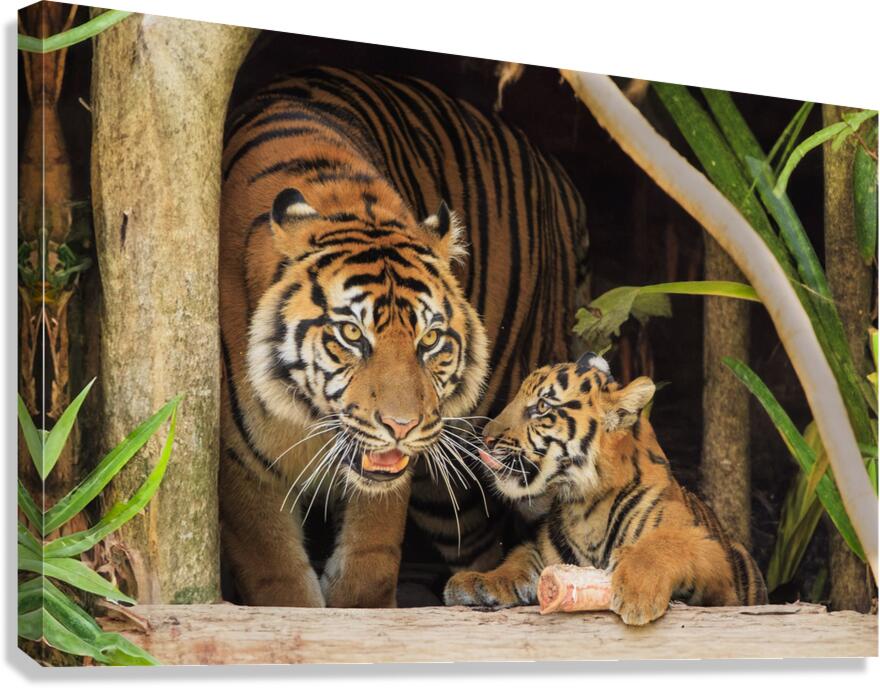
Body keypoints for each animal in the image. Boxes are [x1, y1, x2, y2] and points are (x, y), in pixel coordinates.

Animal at [219, 67, 586, 607]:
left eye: (429, 340)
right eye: (351, 333)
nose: (401, 426)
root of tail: (552, 169)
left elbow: (368, 564)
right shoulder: (241, 467)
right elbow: (278, 580)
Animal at [444, 352, 768, 625]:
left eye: (542, 407)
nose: (485, 439)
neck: (585, 508)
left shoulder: (712, 557)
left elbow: (664, 544)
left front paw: (637, 592)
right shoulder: (545, 551)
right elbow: (519, 560)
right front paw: (478, 581)